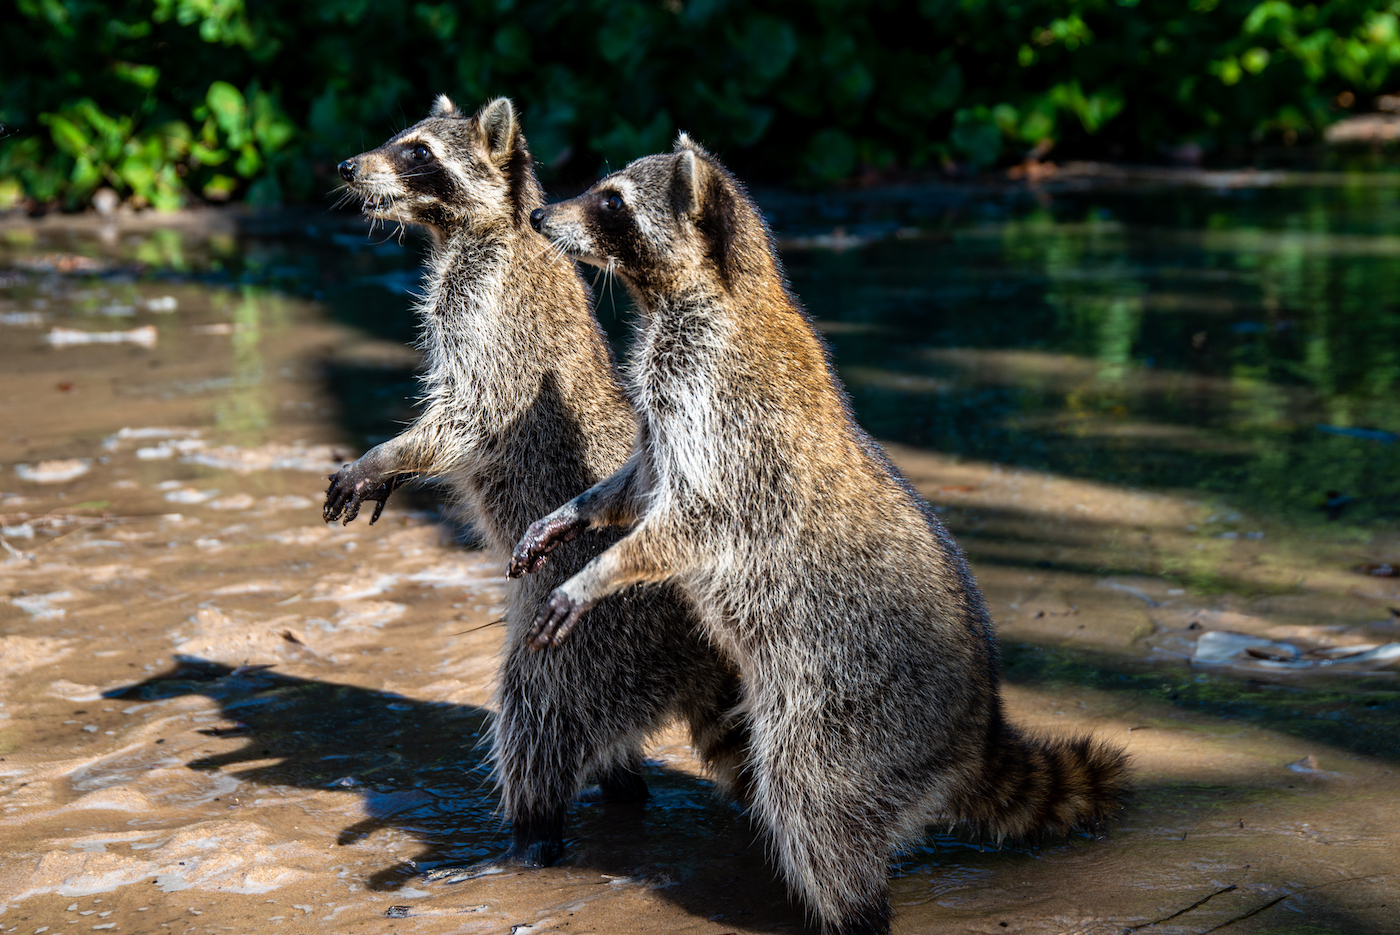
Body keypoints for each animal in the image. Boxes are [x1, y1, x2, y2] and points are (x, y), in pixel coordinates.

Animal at [327, 100, 750, 867]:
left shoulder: (488, 311)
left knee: (537, 714)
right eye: (396, 141)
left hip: (589, 634)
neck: (483, 228)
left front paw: (386, 454)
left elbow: (469, 412)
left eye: (417, 153)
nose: (347, 167)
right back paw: (620, 788)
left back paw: (531, 835)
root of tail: (702, 648)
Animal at [509, 135, 1131, 929]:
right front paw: (579, 512)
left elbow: (691, 520)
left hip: (851, 712)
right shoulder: (672, 406)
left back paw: (852, 909)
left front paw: (602, 570)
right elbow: (640, 484)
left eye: (610, 200)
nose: (538, 216)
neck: (705, 291)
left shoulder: (722, 413)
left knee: (815, 797)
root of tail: (977, 728)